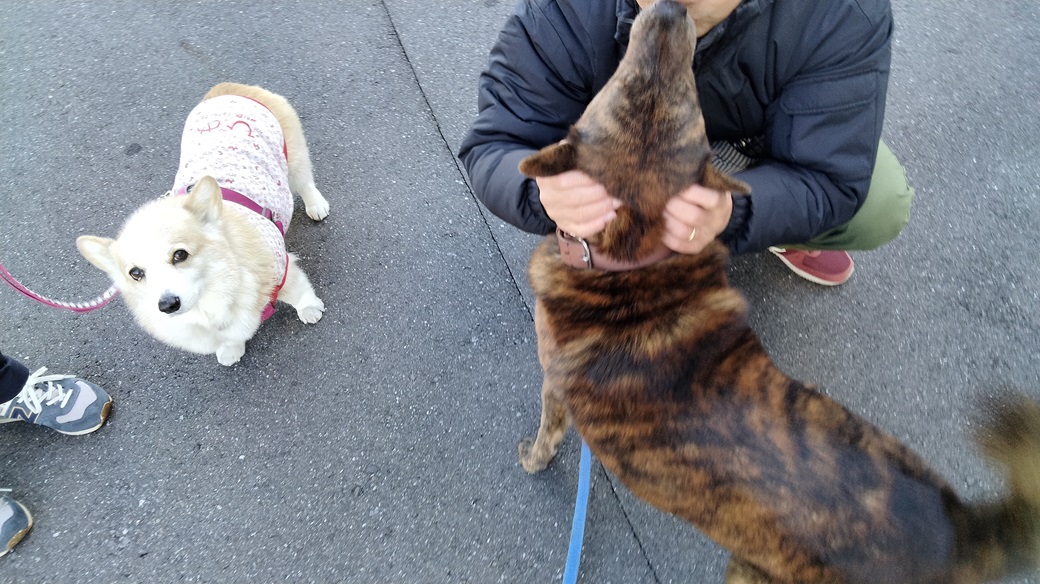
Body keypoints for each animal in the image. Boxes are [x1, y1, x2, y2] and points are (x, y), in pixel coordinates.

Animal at [77, 82, 329, 366]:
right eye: (136, 273)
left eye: (180, 255)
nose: (167, 305)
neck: (208, 301)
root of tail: (225, 89)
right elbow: (230, 339)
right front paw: (231, 350)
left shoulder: (283, 270)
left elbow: (299, 293)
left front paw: (310, 309)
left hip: (293, 158)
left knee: (305, 181)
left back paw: (316, 205)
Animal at [517, 2, 1040, 582]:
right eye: (635, 84)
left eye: (668, 90)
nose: (671, 12)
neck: (633, 259)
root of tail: (962, 535)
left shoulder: (554, 387)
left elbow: (547, 435)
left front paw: (532, 459)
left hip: (753, 568)